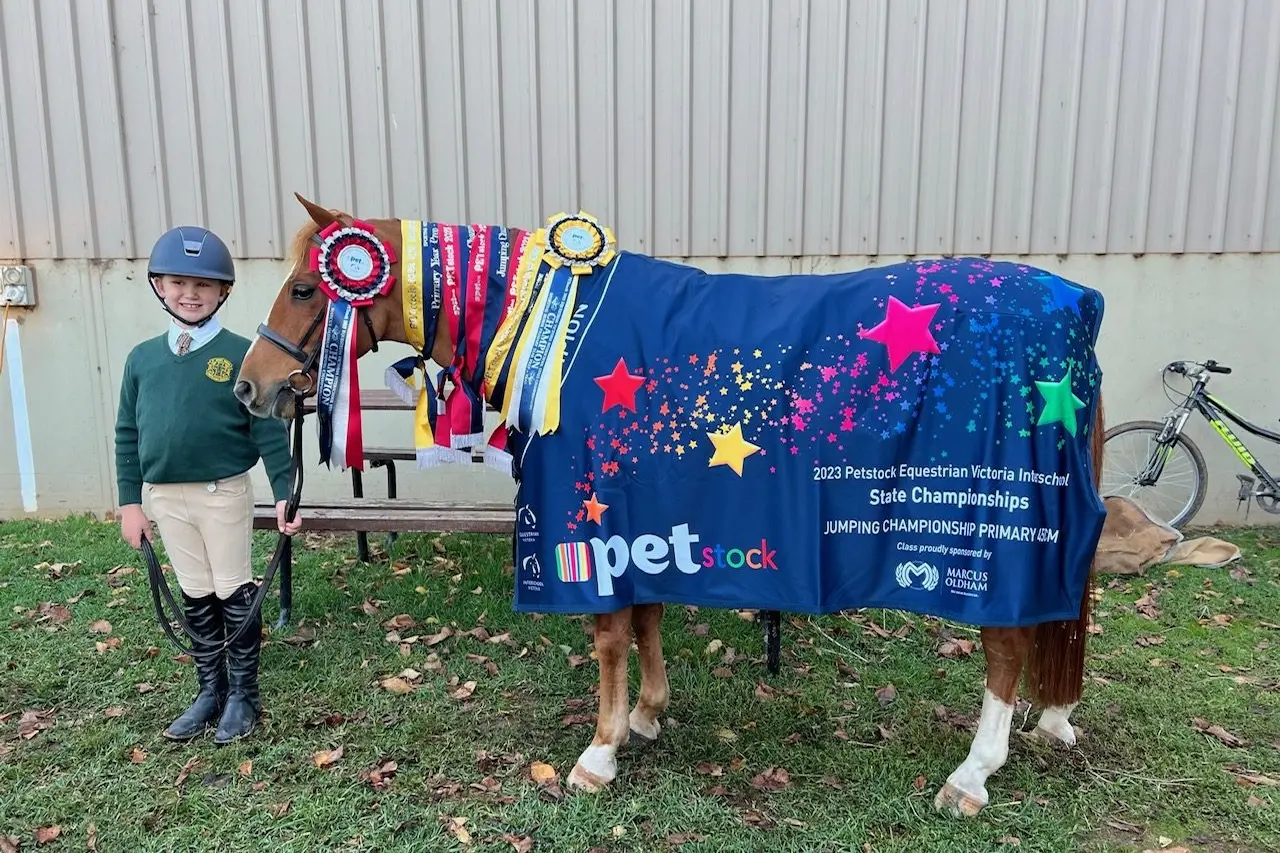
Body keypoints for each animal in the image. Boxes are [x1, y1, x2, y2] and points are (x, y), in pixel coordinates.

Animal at [236, 193, 1107, 817]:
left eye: (309, 286)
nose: (251, 387)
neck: (561, 330)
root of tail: (1074, 301)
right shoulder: (639, 516)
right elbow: (647, 617)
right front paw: (649, 716)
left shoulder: (584, 520)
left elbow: (609, 636)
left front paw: (599, 752)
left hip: (991, 544)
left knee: (1006, 648)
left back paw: (972, 774)